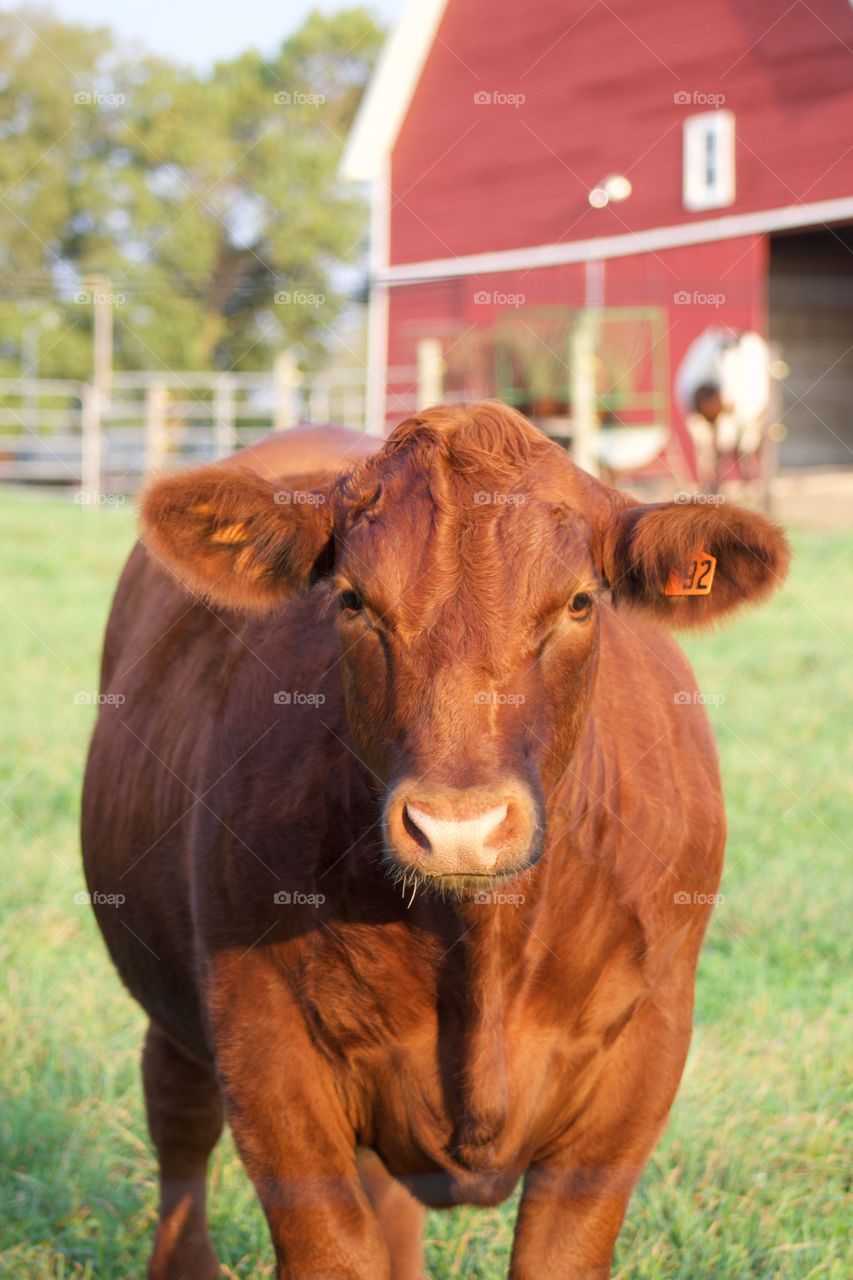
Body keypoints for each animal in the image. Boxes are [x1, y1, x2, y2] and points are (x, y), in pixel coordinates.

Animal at [79, 401, 783, 1280]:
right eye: (352, 601)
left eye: (579, 603)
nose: (458, 827)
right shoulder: (264, 1048)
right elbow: (333, 1251)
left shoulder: (642, 1054)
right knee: (179, 1121)